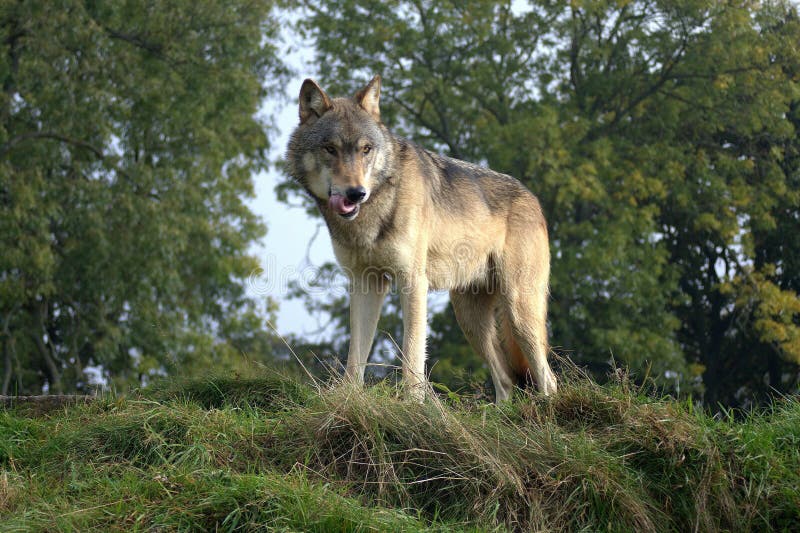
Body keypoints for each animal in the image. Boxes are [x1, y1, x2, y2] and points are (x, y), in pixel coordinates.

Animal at [286, 75, 556, 400]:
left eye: (366, 149)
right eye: (330, 148)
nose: (356, 193)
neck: (375, 209)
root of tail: (534, 199)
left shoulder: (413, 281)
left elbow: (412, 356)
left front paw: (414, 404)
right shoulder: (365, 282)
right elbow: (355, 357)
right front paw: (348, 398)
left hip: (519, 310)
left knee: (548, 377)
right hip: (470, 319)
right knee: (505, 379)